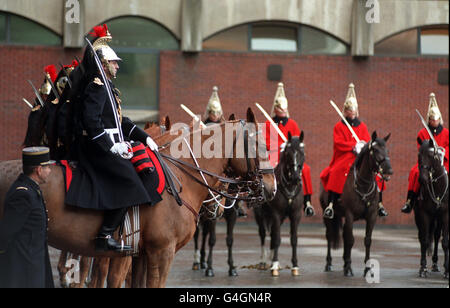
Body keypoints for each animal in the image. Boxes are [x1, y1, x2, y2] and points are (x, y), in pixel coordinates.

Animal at [255, 131, 304, 276]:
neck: (289, 186)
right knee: (263, 234)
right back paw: (263, 261)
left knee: (271, 234)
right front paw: (275, 265)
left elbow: (293, 239)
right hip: (260, 215)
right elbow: (276, 238)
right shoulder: (276, 214)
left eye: (302, 152)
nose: (296, 178)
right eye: (288, 153)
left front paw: (295, 265)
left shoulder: (295, 215)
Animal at [320, 131, 394, 278]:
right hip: (328, 216)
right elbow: (350, 240)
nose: (388, 171)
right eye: (375, 150)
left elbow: (367, 240)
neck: (363, 185)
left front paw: (367, 269)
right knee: (330, 235)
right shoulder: (350, 214)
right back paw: (329, 264)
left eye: (387, 150)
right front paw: (349, 268)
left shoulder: (372, 216)